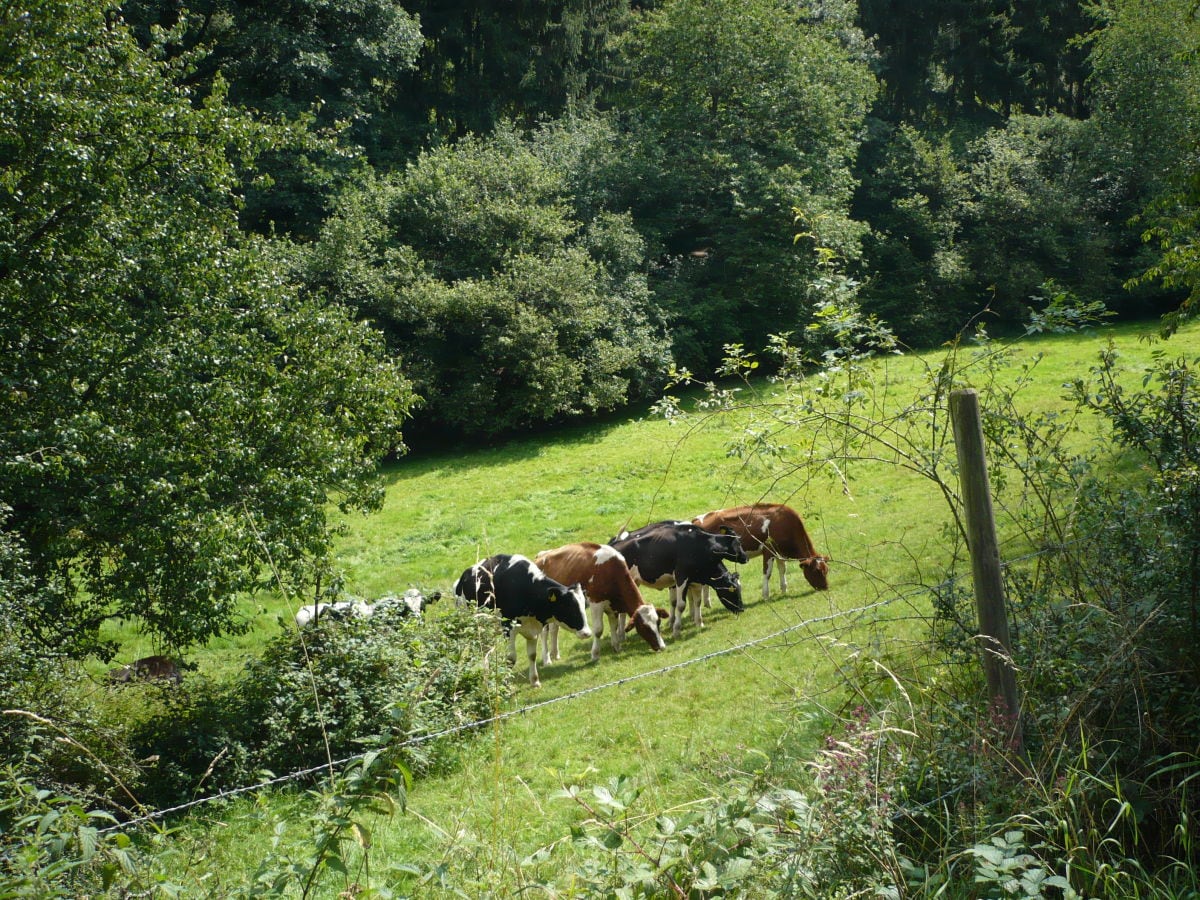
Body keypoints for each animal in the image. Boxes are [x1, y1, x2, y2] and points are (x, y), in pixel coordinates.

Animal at [451, 554, 592, 686]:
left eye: (584, 606)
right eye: (569, 607)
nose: (587, 633)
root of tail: (461, 579)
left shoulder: (533, 628)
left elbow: (532, 655)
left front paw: (535, 681)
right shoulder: (508, 627)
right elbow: (510, 659)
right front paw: (506, 685)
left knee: (485, 651)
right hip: (472, 627)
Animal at [535, 542, 667, 662]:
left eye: (658, 622)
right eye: (644, 627)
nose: (662, 646)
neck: (611, 572)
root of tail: (540, 556)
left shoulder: (612, 606)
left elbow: (614, 626)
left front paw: (617, 647)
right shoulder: (596, 603)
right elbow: (598, 630)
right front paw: (595, 654)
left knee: (554, 629)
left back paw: (555, 654)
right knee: (544, 632)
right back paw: (547, 659)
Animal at [609, 520, 748, 643]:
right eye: (732, 590)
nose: (741, 609)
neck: (700, 546)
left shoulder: (696, 581)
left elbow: (697, 602)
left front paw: (699, 623)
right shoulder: (681, 577)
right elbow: (681, 605)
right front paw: (676, 631)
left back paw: (622, 636)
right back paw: (620, 636)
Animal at [691, 504, 830, 602]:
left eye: (826, 570)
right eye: (817, 571)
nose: (825, 587)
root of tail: (696, 519)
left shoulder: (779, 552)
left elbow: (782, 569)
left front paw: (784, 589)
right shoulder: (768, 550)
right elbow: (767, 573)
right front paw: (766, 595)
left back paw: (707, 602)